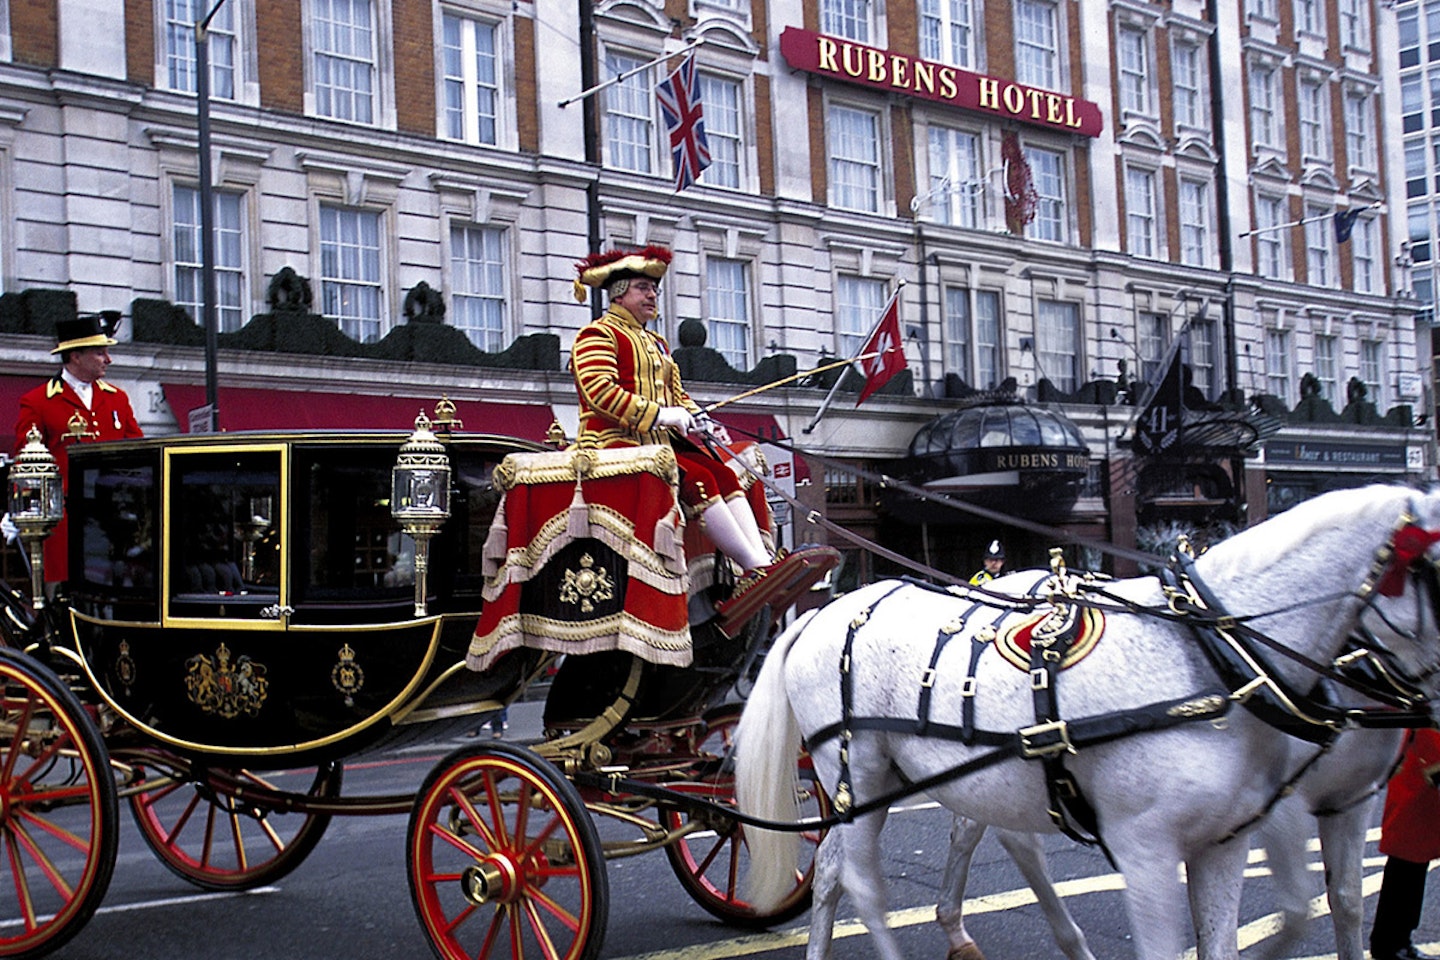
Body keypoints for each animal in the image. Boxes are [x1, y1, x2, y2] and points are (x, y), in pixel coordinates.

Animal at [737, 483, 1434, 960]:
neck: (1222, 657)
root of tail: (824, 611)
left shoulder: (1250, 831)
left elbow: (1325, 907)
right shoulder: (1151, 846)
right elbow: (1286, 911)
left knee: (848, 867)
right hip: (861, 770)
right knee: (863, 880)